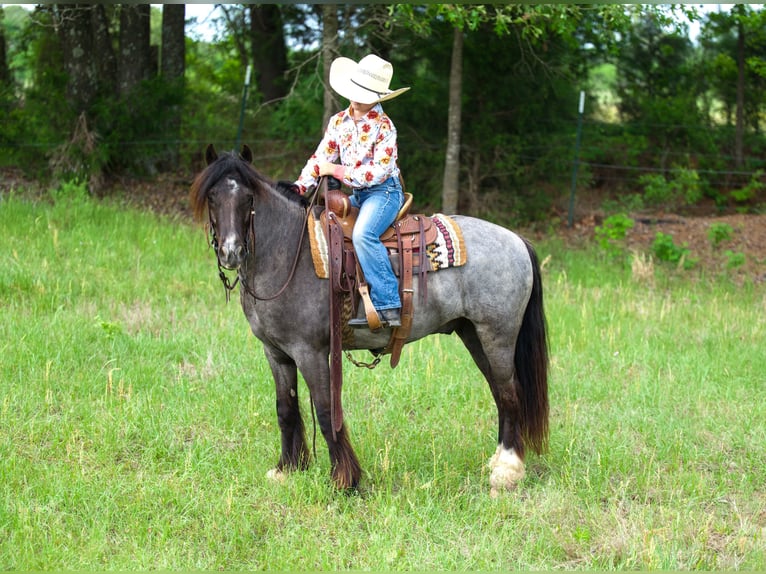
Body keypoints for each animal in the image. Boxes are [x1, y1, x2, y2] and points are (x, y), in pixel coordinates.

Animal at [189, 144, 549, 494]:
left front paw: (344, 480)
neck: (290, 253)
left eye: (248, 198)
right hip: (473, 334)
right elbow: (286, 408)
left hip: (497, 335)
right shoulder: (276, 353)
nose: (231, 252)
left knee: (509, 393)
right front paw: (288, 469)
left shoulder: (311, 352)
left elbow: (325, 410)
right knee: (499, 392)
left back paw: (507, 472)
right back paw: (499, 461)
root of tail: (517, 241)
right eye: (212, 197)